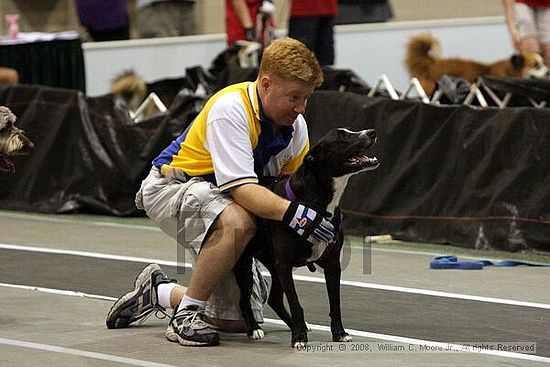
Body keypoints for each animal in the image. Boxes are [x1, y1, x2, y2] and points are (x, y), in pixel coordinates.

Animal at [235, 129, 382, 348]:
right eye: (341, 136)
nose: (371, 132)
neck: (319, 202)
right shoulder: (285, 264)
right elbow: (296, 303)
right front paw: (298, 338)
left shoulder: (332, 263)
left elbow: (335, 302)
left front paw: (339, 333)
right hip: (245, 264)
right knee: (244, 299)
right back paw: (255, 329)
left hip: (273, 265)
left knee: (275, 299)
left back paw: (299, 325)